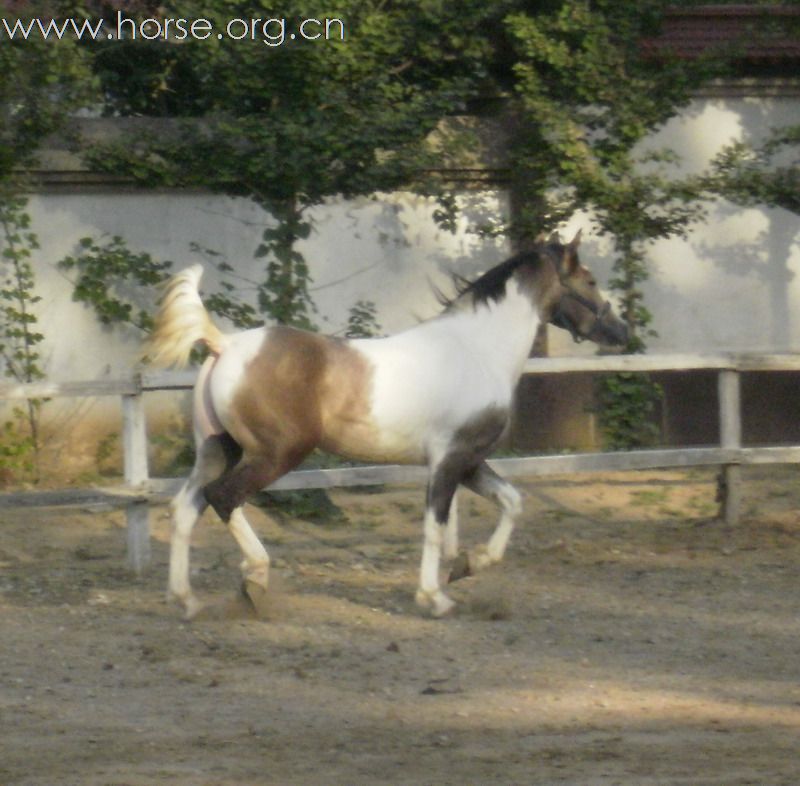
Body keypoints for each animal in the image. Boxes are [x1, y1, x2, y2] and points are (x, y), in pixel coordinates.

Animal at [147, 230, 628, 616]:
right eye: (590, 280)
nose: (622, 332)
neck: (477, 350)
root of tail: (224, 345)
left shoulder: (471, 461)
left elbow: (511, 502)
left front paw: (468, 565)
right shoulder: (450, 460)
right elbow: (435, 527)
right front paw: (435, 598)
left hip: (218, 450)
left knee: (185, 508)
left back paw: (187, 601)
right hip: (275, 454)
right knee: (223, 498)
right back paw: (256, 580)